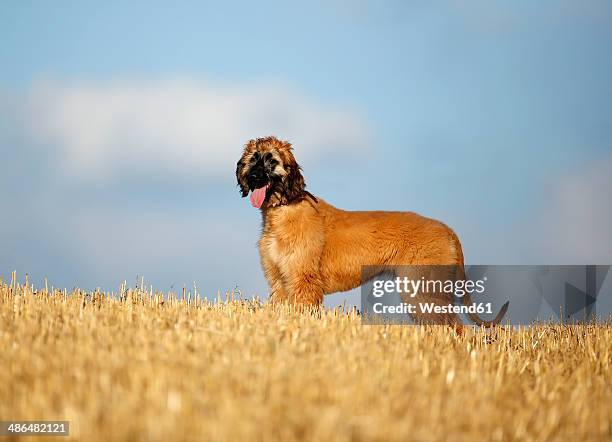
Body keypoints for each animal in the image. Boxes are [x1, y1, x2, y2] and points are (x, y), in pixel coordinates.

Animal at [237, 136, 510, 326]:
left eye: (272, 160)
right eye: (253, 159)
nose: (253, 177)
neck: (283, 209)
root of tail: (449, 230)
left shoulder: (302, 280)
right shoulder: (279, 281)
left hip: (423, 289)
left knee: (456, 327)